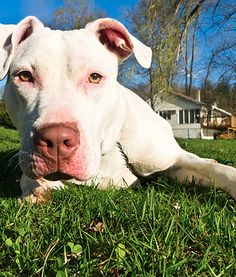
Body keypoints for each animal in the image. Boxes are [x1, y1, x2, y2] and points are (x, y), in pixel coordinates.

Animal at [0, 16, 235, 203]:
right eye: (24, 76)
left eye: (95, 77)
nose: (56, 139)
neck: (107, 151)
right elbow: (29, 178)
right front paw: (36, 190)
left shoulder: (172, 162)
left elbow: (219, 171)